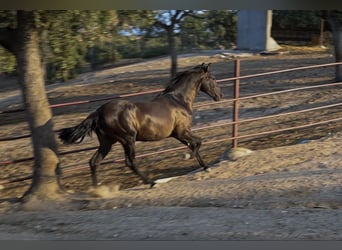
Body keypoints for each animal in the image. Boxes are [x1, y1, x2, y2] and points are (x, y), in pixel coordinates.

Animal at [59, 63, 223, 187]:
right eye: (213, 78)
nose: (220, 96)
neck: (179, 101)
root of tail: (98, 112)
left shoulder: (178, 134)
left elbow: (194, 144)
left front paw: (205, 167)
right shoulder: (182, 132)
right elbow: (198, 142)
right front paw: (189, 157)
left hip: (107, 142)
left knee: (94, 162)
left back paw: (96, 189)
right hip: (128, 139)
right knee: (130, 162)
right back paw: (151, 183)